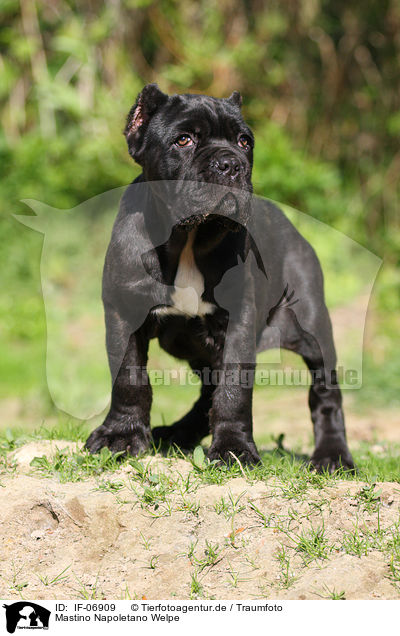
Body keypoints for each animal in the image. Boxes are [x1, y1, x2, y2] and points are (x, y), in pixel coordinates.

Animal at [86, 83, 354, 472]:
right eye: (183, 139)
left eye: (245, 141)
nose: (231, 164)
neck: (188, 239)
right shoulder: (125, 314)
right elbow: (129, 379)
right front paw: (120, 437)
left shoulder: (236, 325)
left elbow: (233, 390)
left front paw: (233, 448)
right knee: (205, 395)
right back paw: (176, 434)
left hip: (313, 327)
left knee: (325, 393)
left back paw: (333, 455)